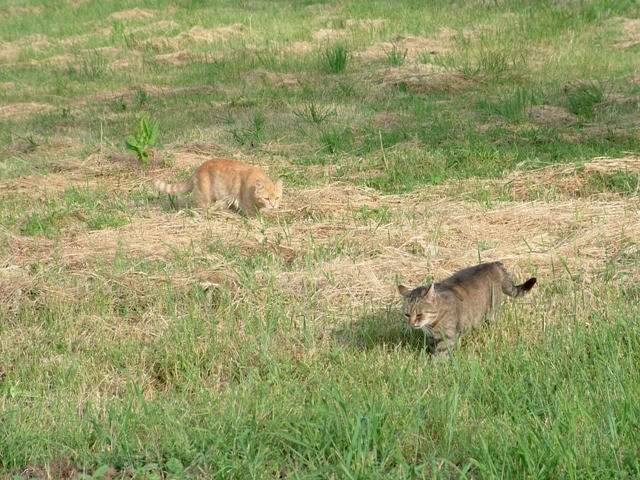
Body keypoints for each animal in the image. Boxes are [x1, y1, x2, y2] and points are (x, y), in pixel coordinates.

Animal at [154, 158, 284, 217]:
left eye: (277, 198)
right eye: (267, 198)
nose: (273, 205)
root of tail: (198, 168)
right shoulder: (246, 203)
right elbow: (252, 213)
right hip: (203, 198)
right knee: (199, 208)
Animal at [398, 260, 536, 354]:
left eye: (419, 314)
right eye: (407, 314)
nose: (411, 324)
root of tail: (493, 264)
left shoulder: (447, 338)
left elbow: (440, 356)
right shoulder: (432, 338)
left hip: (492, 313)